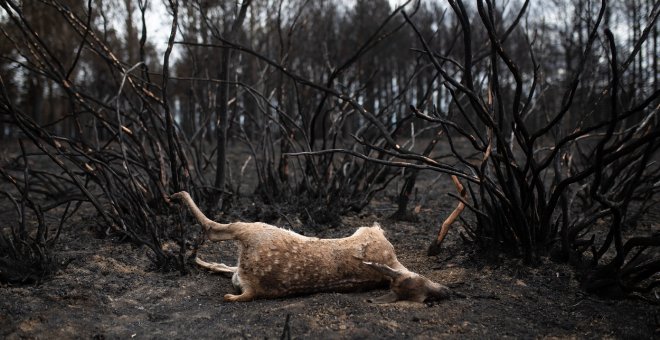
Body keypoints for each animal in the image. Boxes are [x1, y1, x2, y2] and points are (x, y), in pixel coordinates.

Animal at [170, 191, 452, 302]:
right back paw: (197, 258)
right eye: (425, 294)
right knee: (225, 262)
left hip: (256, 230)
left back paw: (176, 197)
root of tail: (253, 289)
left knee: (214, 229)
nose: (447, 291)